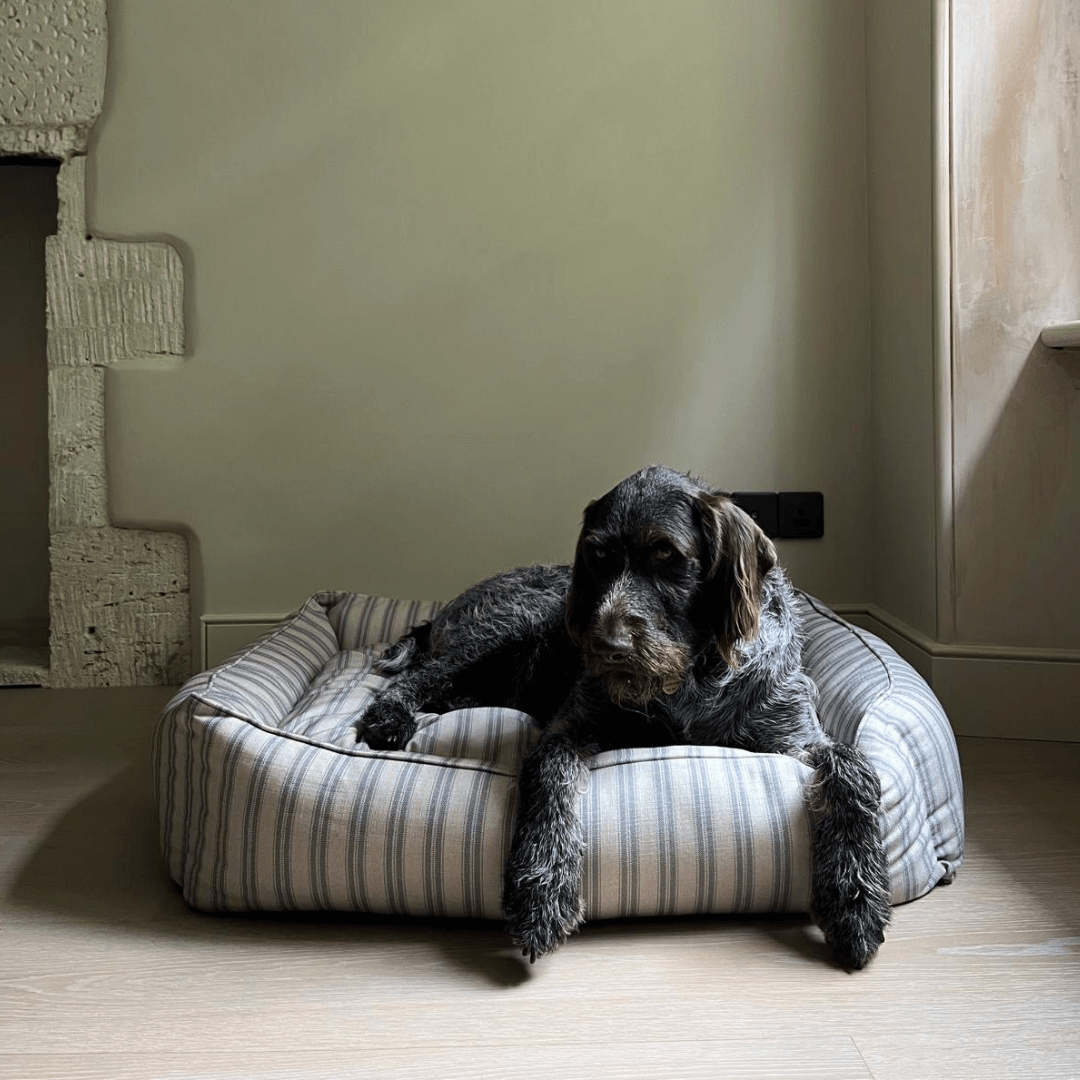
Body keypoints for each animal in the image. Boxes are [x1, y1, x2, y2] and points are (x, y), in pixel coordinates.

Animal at [358, 464, 889, 972]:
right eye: (597, 556)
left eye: (665, 553)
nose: (606, 647)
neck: (689, 678)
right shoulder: (571, 728)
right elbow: (547, 774)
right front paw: (541, 889)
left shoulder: (798, 738)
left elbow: (854, 766)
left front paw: (856, 899)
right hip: (513, 623)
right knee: (417, 678)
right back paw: (389, 717)